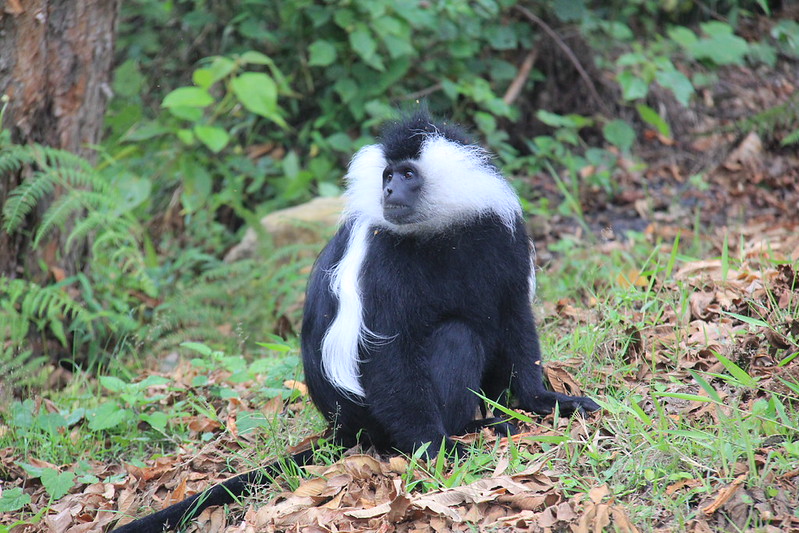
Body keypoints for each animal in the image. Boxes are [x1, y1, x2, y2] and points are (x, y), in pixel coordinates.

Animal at [110, 111, 599, 532]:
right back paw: (470, 428)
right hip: (378, 417)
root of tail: (344, 426)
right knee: (454, 338)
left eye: (406, 175)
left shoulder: (501, 232)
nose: (389, 193)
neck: (438, 231)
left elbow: (514, 317)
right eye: (387, 176)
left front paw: (543, 401)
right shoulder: (380, 257)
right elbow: (386, 352)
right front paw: (436, 446)